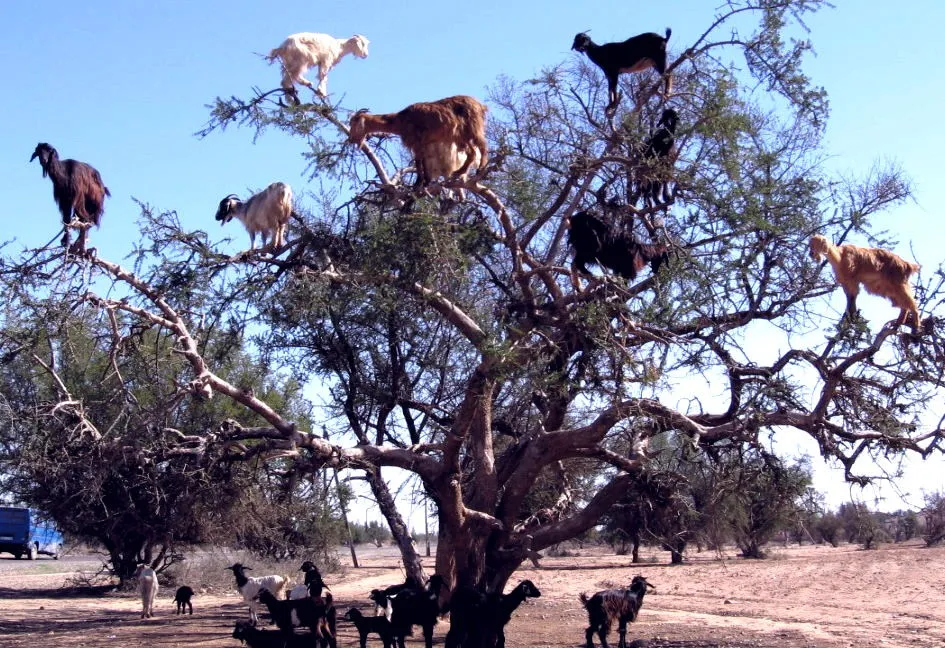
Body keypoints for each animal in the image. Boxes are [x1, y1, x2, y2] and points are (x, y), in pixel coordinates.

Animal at [348, 95, 489, 190]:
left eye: (353, 123)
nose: (350, 139)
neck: (400, 120)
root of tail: (480, 106)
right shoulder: (423, 145)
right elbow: (423, 162)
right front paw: (426, 182)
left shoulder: (416, 143)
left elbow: (418, 162)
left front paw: (418, 183)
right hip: (461, 136)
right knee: (472, 153)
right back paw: (459, 172)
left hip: (473, 128)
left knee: (482, 146)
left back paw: (480, 168)